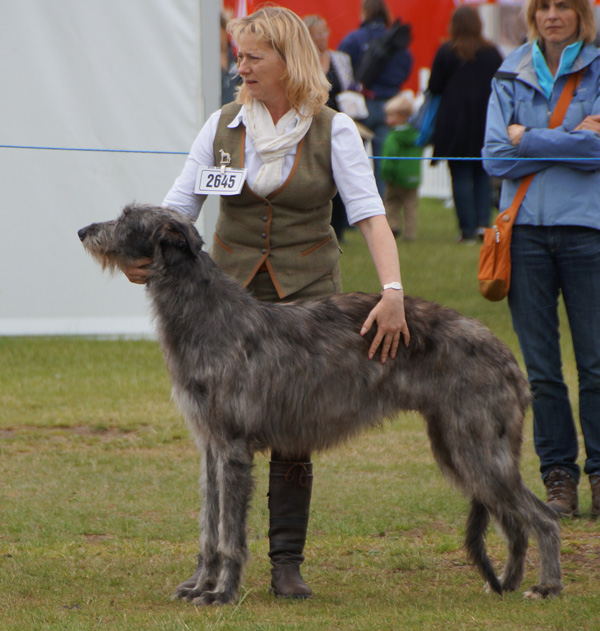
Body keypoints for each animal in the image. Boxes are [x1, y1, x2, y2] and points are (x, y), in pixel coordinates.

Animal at [78, 205, 564, 604]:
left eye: (127, 218)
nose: (83, 230)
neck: (209, 315)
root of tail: (504, 352)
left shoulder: (233, 447)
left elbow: (230, 534)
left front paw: (222, 593)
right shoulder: (211, 446)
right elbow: (208, 526)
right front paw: (200, 585)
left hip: (476, 446)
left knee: (542, 517)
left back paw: (546, 586)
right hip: (457, 446)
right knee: (513, 522)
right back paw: (508, 583)